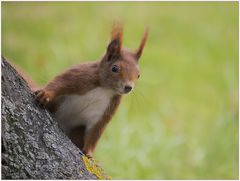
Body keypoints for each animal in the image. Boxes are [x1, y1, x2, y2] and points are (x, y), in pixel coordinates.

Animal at [34, 24, 148, 157]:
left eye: (139, 75)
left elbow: (95, 131)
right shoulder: (81, 76)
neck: (105, 89)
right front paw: (46, 94)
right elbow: (61, 82)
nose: (128, 87)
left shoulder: (105, 110)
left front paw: (89, 153)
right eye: (115, 68)